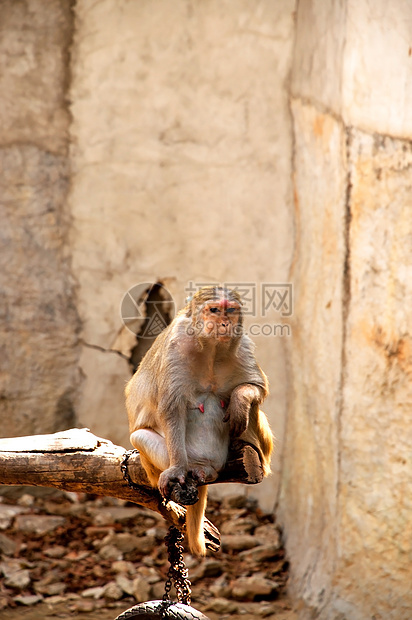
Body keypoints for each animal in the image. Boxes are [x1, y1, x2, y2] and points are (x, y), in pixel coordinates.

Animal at [125, 286, 274, 556]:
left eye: (230, 310)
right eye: (214, 310)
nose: (225, 323)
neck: (212, 349)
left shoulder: (243, 345)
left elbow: (256, 388)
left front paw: (239, 399)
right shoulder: (175, 349)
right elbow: (171, 409)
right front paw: (176, 469)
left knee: (251, 410)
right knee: (139, 437)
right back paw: (191, 469)